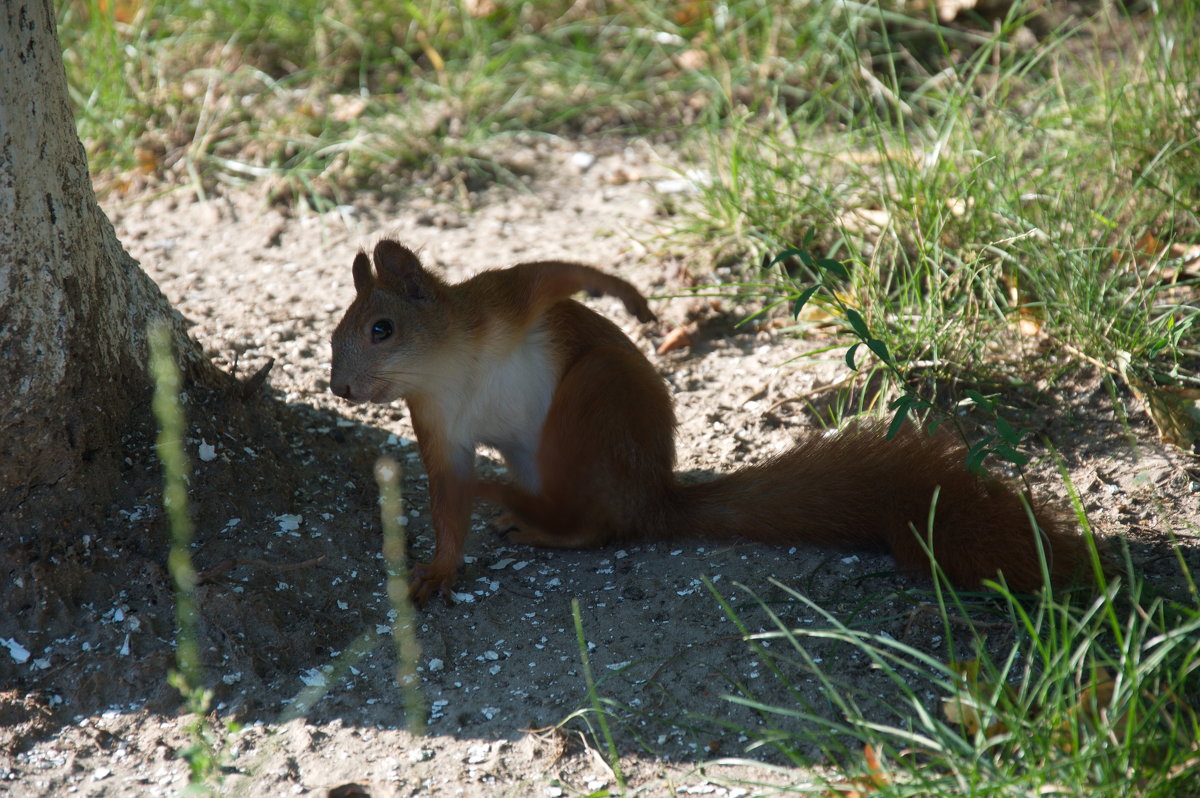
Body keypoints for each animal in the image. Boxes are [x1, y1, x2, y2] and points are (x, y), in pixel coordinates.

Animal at [328, 240, 1089, 600]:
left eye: (381, 329)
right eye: (336, 335)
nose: (339, 387)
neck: (444, 367)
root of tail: (657, 497)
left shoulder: (504, 302)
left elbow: (557, 274)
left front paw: (627, 295)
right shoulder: (439, 427)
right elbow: (447, 501)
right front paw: (436, 569)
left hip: (591, 404)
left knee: (600, 523)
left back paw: (525, 508)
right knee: (592, 521)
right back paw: (521, 509)